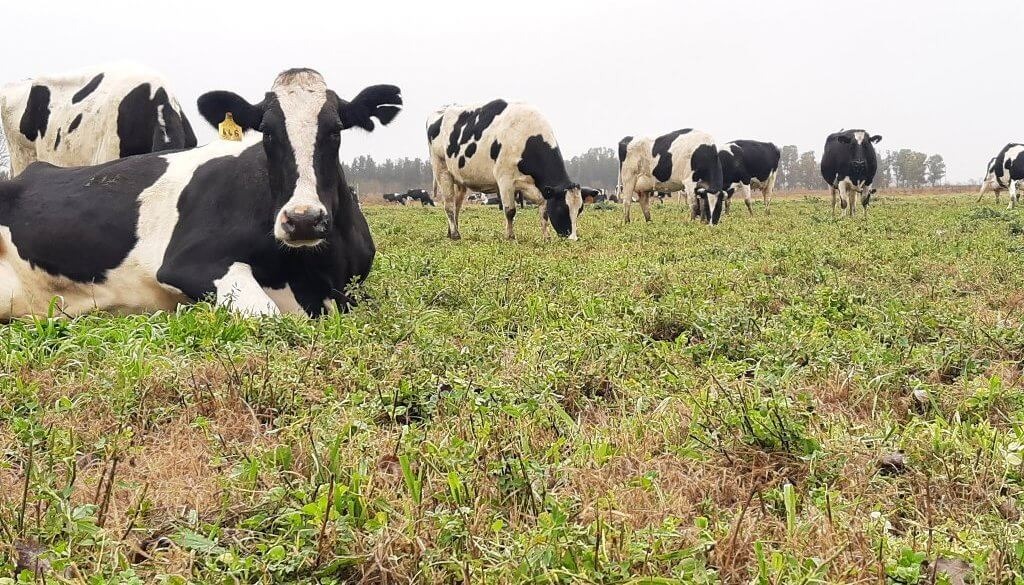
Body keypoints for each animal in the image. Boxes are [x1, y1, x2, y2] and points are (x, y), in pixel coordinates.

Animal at [427, 100, 584, 240]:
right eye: (562, 209)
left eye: (580, 210)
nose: (573, 238)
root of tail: (441, 109)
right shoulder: (505, 180)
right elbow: (510, 211)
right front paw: (510, 237)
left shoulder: (538, 188)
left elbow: (544, 211)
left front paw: (546, 237)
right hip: (442, 169)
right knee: (448, 204)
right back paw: (454, 234)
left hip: (459, 180)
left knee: (456, 205)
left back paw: (451, 232)